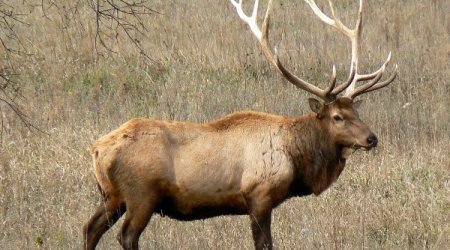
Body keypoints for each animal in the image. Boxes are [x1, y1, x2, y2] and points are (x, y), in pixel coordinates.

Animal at [82, 0, 396, 249]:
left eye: (356, 111)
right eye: (337, 117)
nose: (372, 138)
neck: (296, 157)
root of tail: (97, 149)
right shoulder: (259, 196)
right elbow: (264, 244)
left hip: (112, 195)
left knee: (89, 228)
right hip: (141, 194)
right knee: (126, 236)